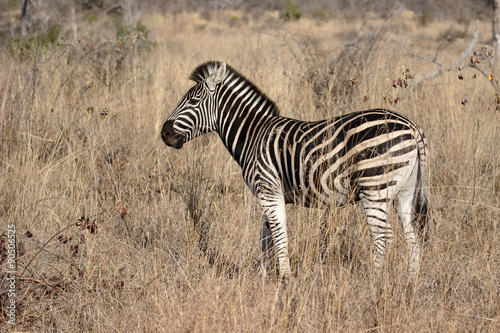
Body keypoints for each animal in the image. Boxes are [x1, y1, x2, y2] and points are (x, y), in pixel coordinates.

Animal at [162, 60, 428, 278]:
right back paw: (410, 283)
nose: (164, 133)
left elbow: (280, 237)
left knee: (384, 237)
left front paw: (286, 279)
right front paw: (265, 277)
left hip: (375, 188)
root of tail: (412, 127)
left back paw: (373, 284)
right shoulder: (270, 193)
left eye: (193, 101)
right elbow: (267, 238)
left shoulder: (268, 189)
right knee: (412, 238)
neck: (253, 136)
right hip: (404, 192)